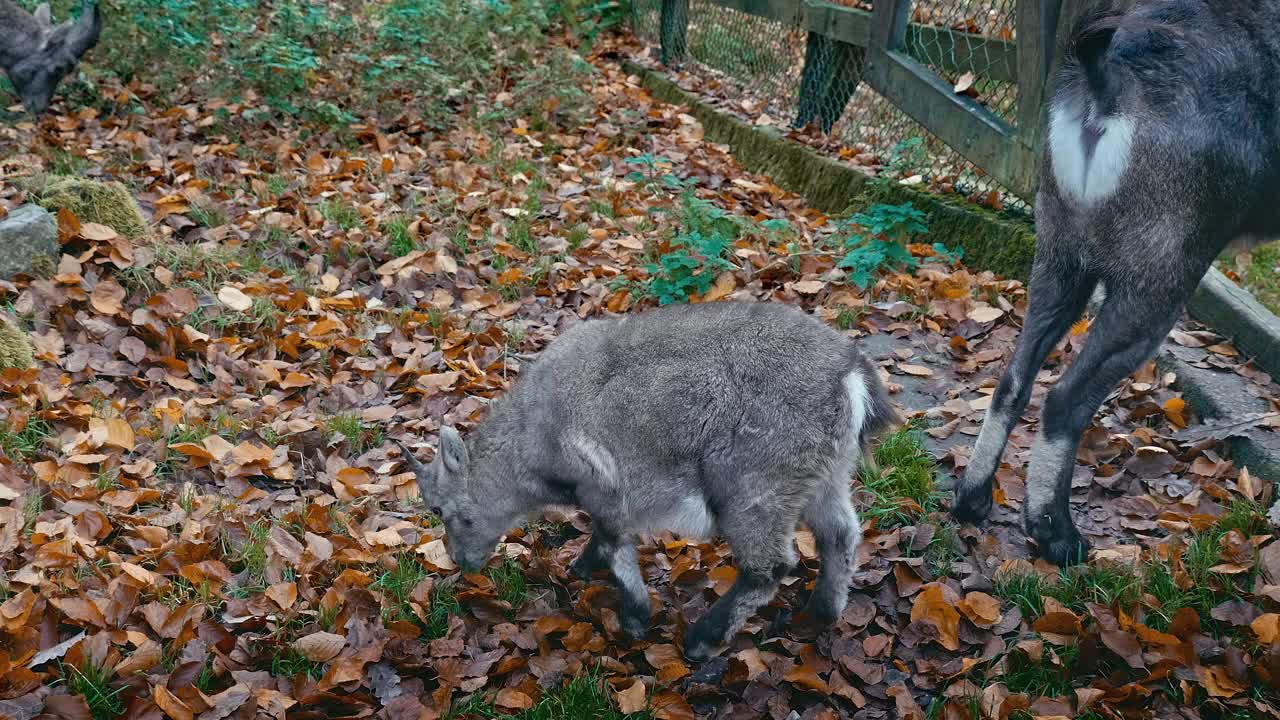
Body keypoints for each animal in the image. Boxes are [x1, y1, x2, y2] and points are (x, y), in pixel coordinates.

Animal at [394, 299, 896, 661]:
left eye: (440, 508)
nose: (462, 562)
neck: (534, 432)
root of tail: (851, 378)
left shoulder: (605, 486)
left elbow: (615, 543)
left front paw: (634, 616)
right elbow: (602, 540)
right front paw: (582, 568)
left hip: (754, 485)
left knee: (768, 567)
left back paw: (703, 640)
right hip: (826, 475)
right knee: (840, 534)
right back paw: (821, 614)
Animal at [952, 1, 1280, 566]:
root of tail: (1107, 79)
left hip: (1060, 259)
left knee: (1013, 379)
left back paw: (973, 500)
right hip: (1155, 288)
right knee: (1065, 400)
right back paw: (1057, 535)